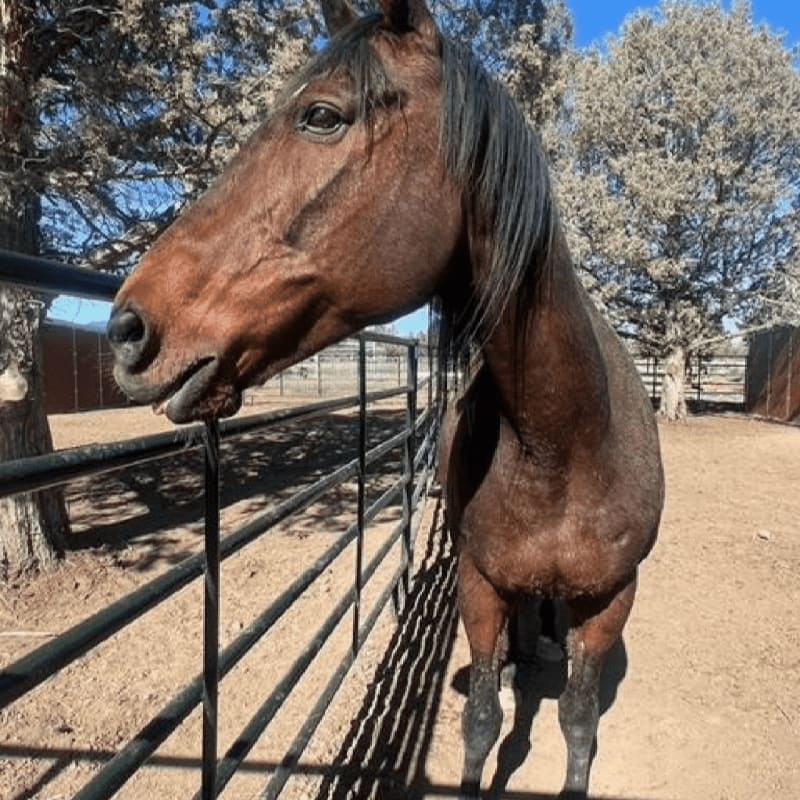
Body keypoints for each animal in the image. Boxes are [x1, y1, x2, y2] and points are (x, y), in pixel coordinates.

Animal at [107, 1, 664, 796]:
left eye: (321, 115)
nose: (128, 329)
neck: (564, 444)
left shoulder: (610, 601)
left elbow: (579, 725)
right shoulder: (480, 589)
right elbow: (483, 723)